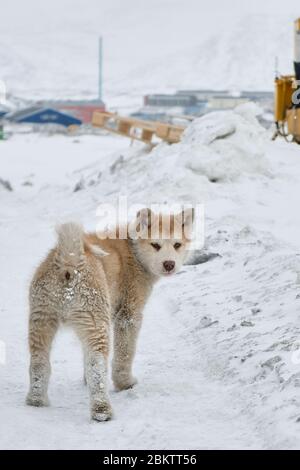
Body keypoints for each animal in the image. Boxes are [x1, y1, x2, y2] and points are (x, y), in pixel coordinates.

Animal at [26, 207, 195, 420]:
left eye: (177, 244)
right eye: (155, 245)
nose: (169, 264)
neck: (133, 250)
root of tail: (69, 262)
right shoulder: (128, 315)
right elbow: (125, 352)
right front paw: (125, 383)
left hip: (43, 320)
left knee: (39, 362)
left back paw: (36, 401)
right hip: (96, 322)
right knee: (96, 366)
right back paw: (102, 411)